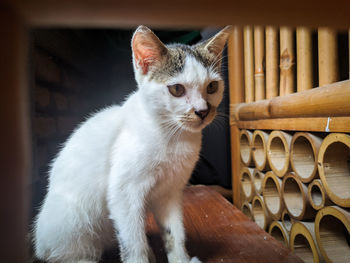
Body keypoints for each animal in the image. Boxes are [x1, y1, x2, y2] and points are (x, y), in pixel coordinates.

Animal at [32, 25, 230, 263]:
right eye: (177, 90)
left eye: (212, 87)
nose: (202, 111)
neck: (172, 136)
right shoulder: (124, 192)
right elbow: (133, 240)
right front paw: (139, 258)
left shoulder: (170, 191)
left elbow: (174, 231)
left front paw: (180, 258)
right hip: (71, 218)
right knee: (61, 253)